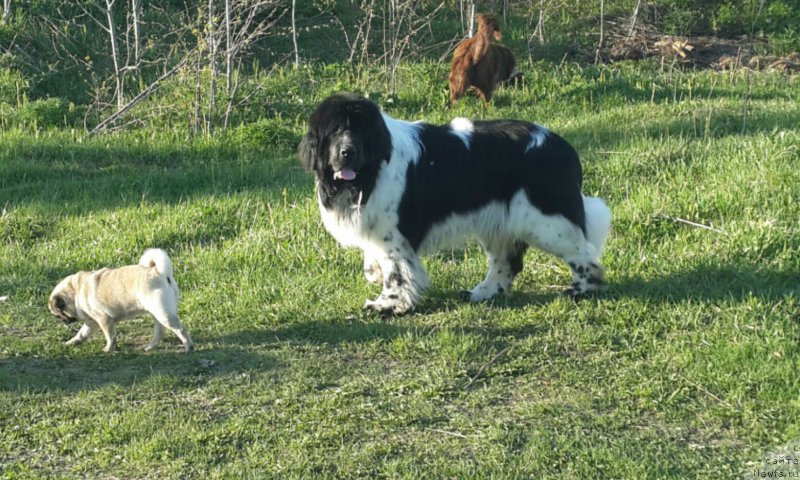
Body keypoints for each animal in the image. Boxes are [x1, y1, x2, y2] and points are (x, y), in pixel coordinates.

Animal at [300, 93, 612, 316]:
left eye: (360, 132)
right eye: (334, 131)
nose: (347, 152)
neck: (369, 172)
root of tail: (564, 147)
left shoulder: (395, 235)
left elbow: (396, 271)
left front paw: (389, 304)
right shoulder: (376, 228)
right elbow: (375, 263)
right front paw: (376, 276)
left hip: (544, 219)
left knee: (582, 252)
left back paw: (581, 289)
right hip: (498, 221)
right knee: (505, 262)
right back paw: (482, 293)